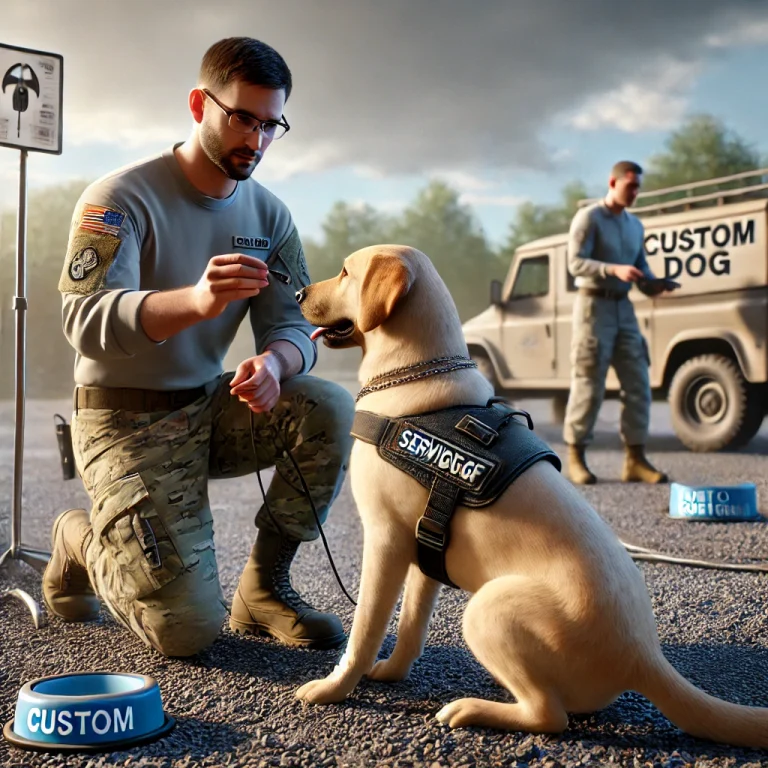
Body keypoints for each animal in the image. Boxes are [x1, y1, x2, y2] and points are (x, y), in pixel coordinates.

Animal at [294, 244, 768, 744]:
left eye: (345, 272)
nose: (298, 292)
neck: (415, 377)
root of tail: (645, 657)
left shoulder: (384, 540)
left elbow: (364, 630)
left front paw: (333, 688)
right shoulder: (424, 552)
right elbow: (410, 626)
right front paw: (392, 673)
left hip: (488, 609)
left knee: (549, 716)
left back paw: (472, 709)